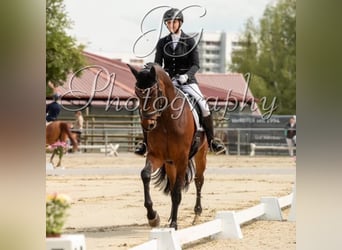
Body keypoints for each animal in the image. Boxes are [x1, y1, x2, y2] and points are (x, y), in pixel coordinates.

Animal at [128, 63, 208, 229]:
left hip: (201, 155)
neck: (166, 120)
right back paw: (171, 216)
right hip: (170, 164)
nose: (147, 124)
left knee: (198, 181)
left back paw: (196, 215)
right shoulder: (156, 156)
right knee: (171, 186)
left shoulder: (182, 159)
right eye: (137, 93)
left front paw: (174, 225)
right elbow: (145, 175)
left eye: (153, 93)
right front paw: (153, 217)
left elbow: (177, 192)